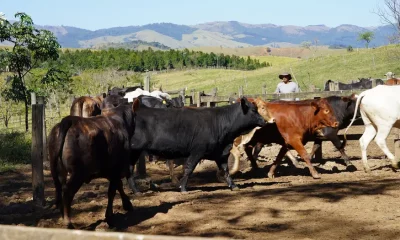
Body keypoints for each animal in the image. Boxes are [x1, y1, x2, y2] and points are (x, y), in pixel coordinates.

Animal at [48, 99, 140, 229]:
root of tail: (68, 120)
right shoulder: (117, 169)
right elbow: (112, 191)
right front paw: (110, 217)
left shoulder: (111, 171)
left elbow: (119, 186)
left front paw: (127, 204)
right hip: (78, 174)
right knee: (67, 192)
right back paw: (68, 222)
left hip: (57, 170)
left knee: (59, 189)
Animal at [128, 96, 266, 192]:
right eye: (254, 110)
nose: (264, 121)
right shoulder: (197, 151)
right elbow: (189, 169)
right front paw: (183, 187)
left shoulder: (220, 153)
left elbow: (225, 170)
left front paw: (233, 185)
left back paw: (136, 190)